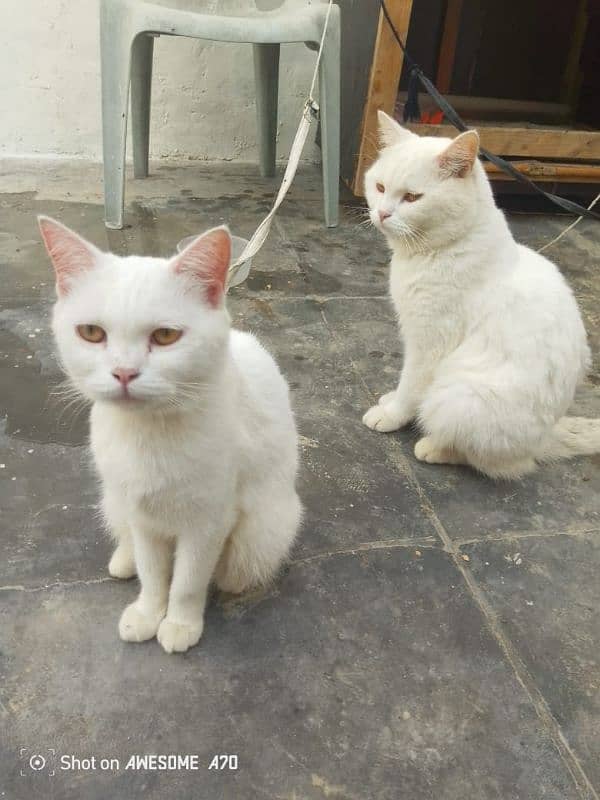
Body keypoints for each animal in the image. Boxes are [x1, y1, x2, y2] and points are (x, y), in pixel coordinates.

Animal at [42, 217, 302, 648]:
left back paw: (230, 580)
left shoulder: (209, 522)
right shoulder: (141, 515)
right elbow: (153, 573)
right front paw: (148, 612)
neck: (150, 433)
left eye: (165, 336)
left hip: (264, 528)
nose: (124, 372)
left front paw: (180, 623)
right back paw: (124, 559)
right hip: (114, 499)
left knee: (238, 565)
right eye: (92, 332)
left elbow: (187, 581)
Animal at [360, 110, 600, 478]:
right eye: (380, 187)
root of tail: (548, 435)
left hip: (458, 396)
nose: (382, 213)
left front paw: (392, 414)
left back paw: (433, 447)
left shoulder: (429, 343)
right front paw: (391, 402)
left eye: (412, 198)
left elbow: (411, 385)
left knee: (498, 461)